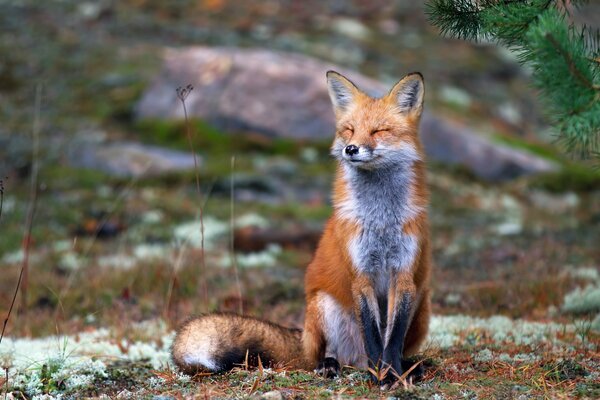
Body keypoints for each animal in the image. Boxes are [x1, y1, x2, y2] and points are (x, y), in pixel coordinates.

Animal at [171, 71, 428, 384]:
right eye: (349, 130)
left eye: (379, 131)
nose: (351, 149)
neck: (380, 220)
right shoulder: (360, 274)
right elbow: (373, 335)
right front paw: (382, 374)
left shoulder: (404, 274)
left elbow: (392, 338)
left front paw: (393, 374)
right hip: (323, 305)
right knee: (329, 354)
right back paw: (334, 365)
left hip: (421, 303)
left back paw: (410, 366)